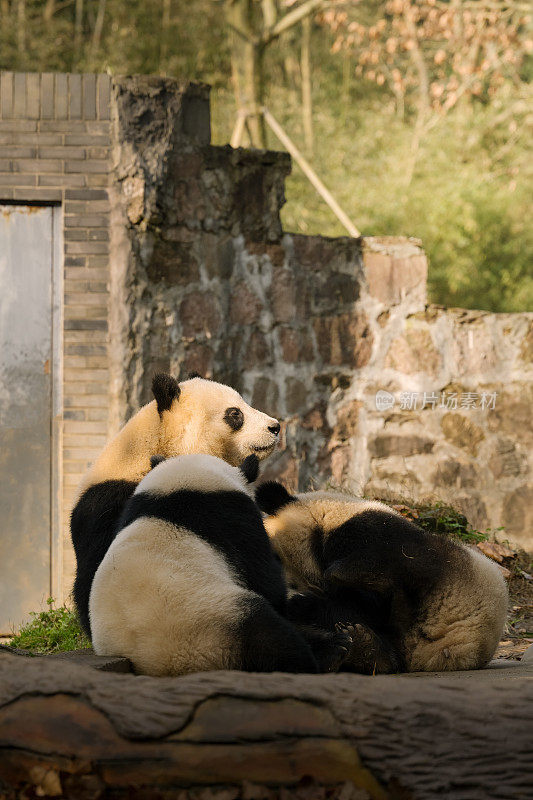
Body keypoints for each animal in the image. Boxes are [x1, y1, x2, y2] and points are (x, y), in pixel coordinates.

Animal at [89, 456, 352, 676]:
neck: (181, 487)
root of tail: (170, 666)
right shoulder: (233, 518)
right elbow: (264, 578)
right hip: (213, 621)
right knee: (270, 637)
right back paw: (327, 656)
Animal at [256, 484, 510, 672]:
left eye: (275, 557)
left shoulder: (364, 531)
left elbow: (366, 592)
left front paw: (311, 596)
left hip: (445, 576)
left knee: (403, 575)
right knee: (391, 650)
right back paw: (366, 648)